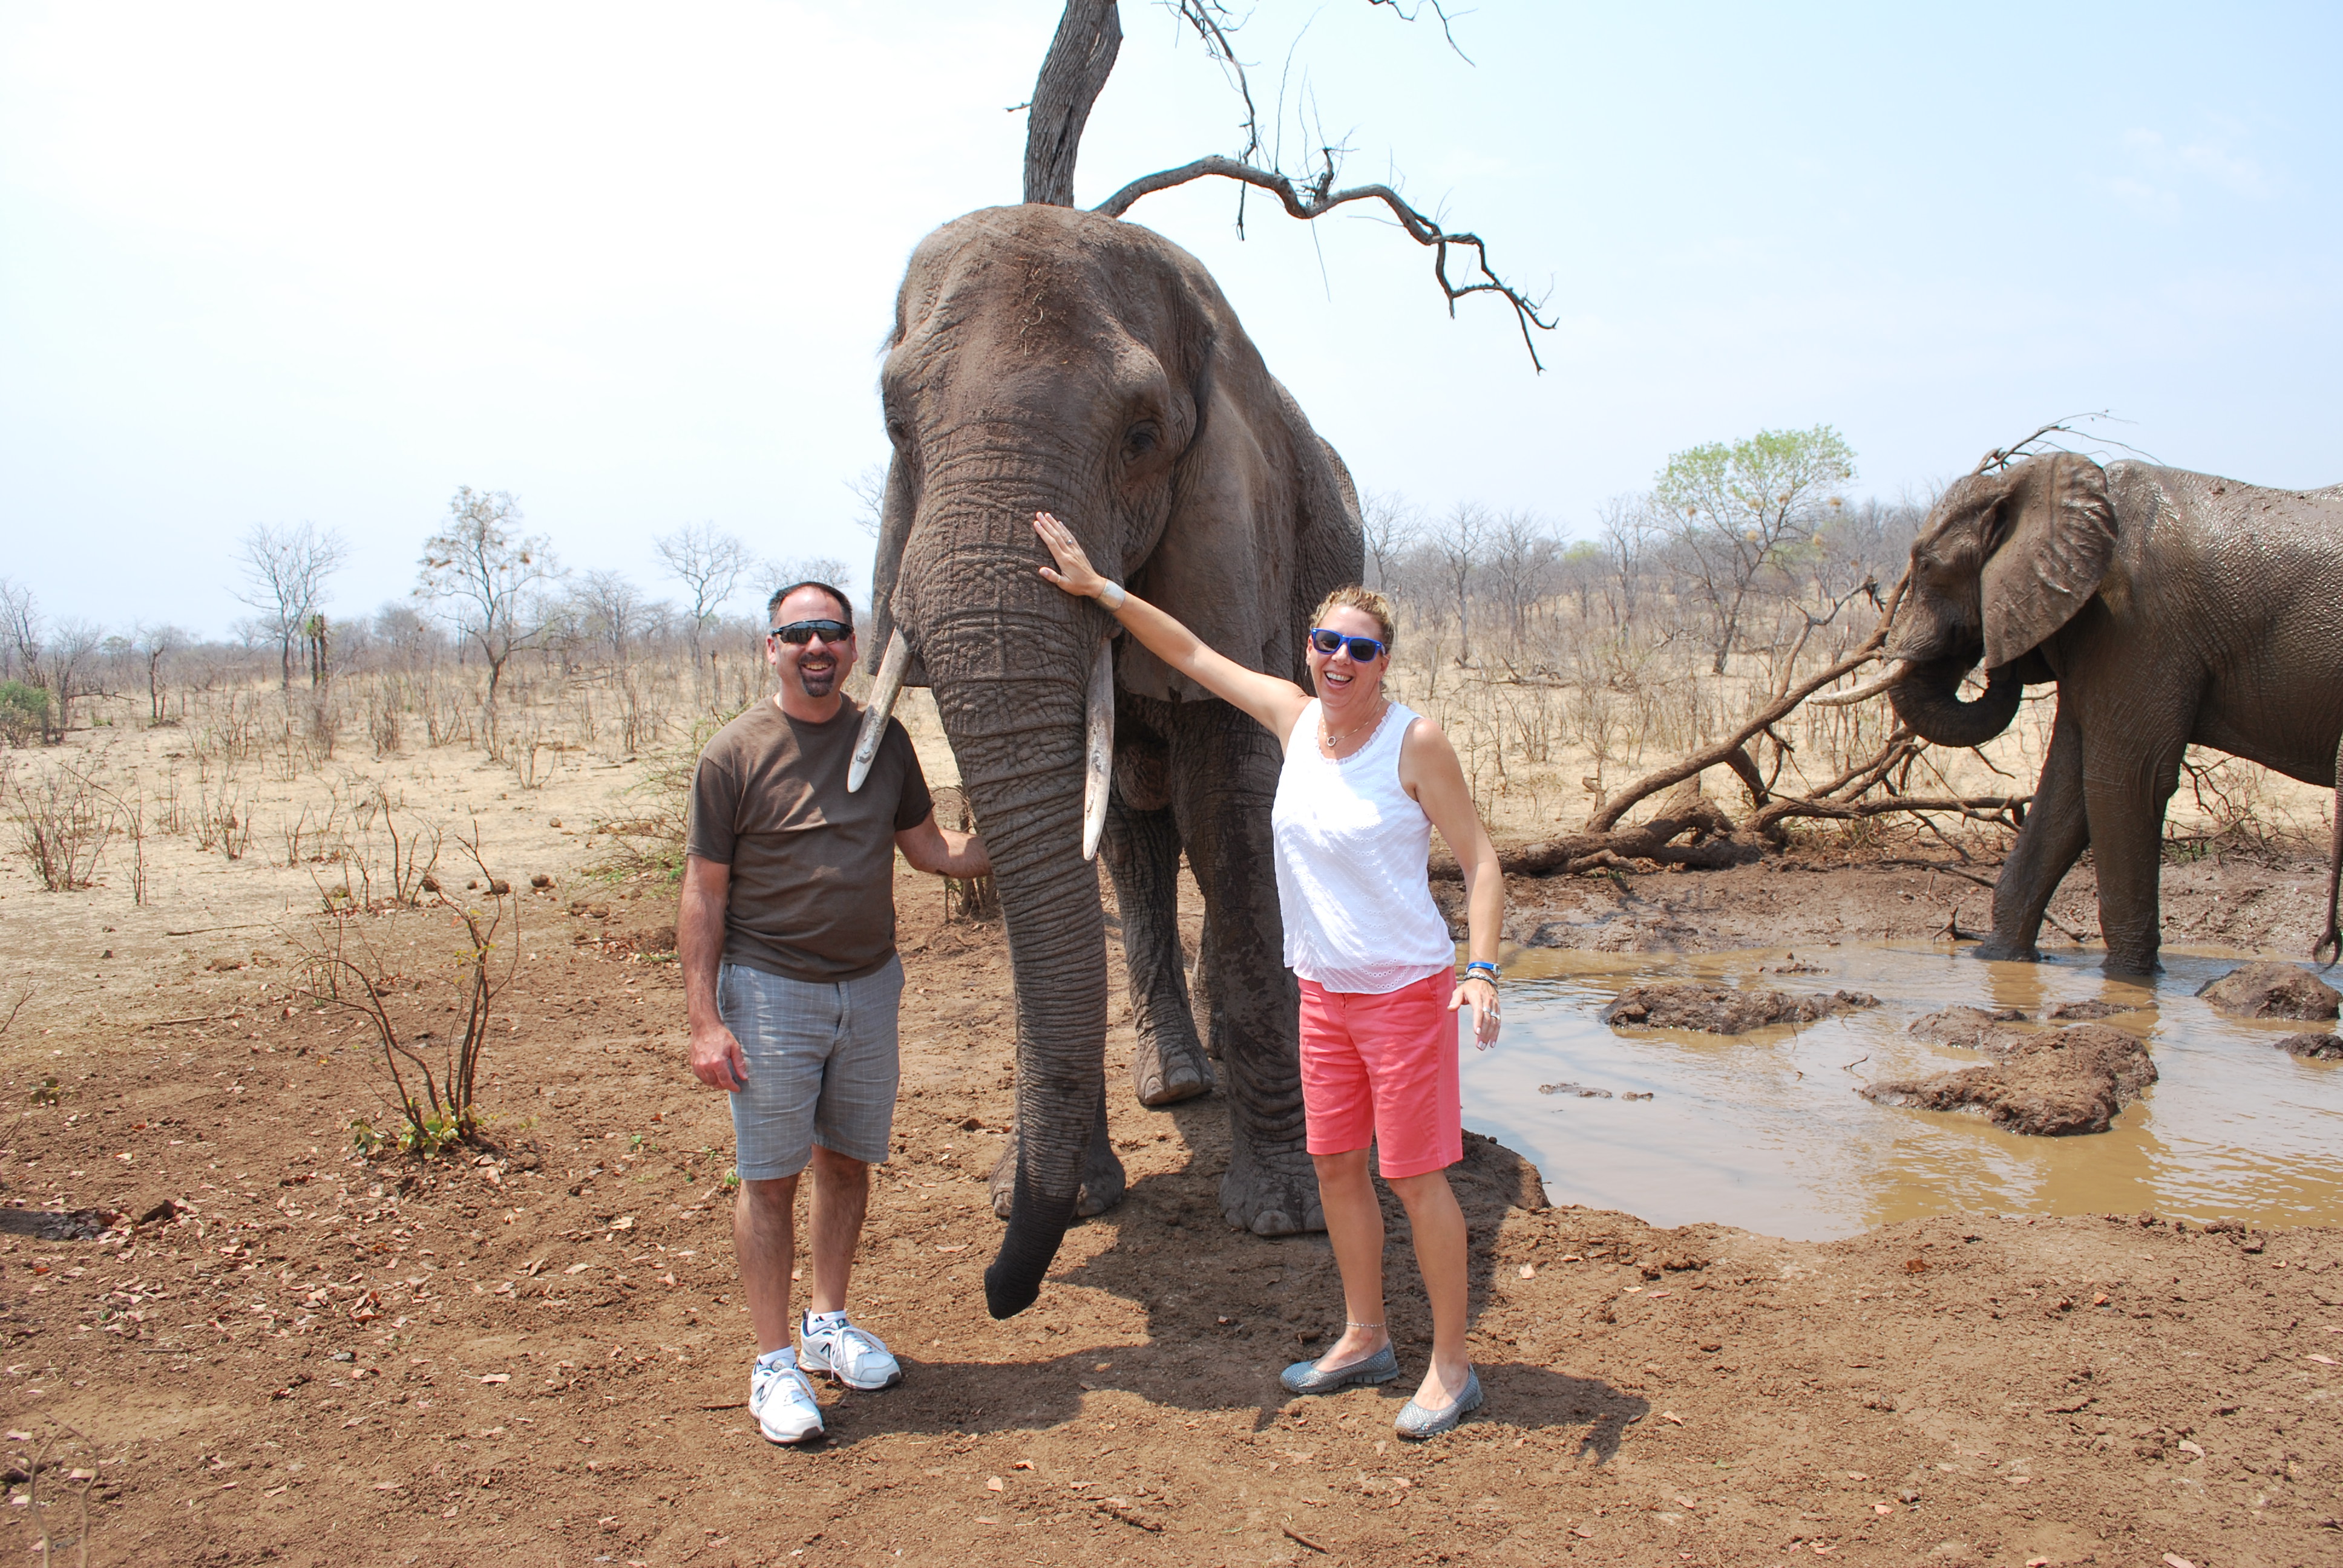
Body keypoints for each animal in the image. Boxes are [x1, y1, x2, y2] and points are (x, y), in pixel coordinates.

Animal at [855, 203, 1366, 1319]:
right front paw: (1052, 1196)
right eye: (896, 425)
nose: (1004, 1291)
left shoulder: (1241, 541)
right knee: (1131, 829)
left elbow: (1229, 810)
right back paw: (1174, 1082)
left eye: (1141, 437)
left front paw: (1284, 1215)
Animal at [1837, 452, 2343, 974]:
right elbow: (2065, 786)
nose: (1995, 653)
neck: (2030, 483)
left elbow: (2125, 780)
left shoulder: (2136, 624)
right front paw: (1999, 959)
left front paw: (2129, 980)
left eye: (1927, 565)